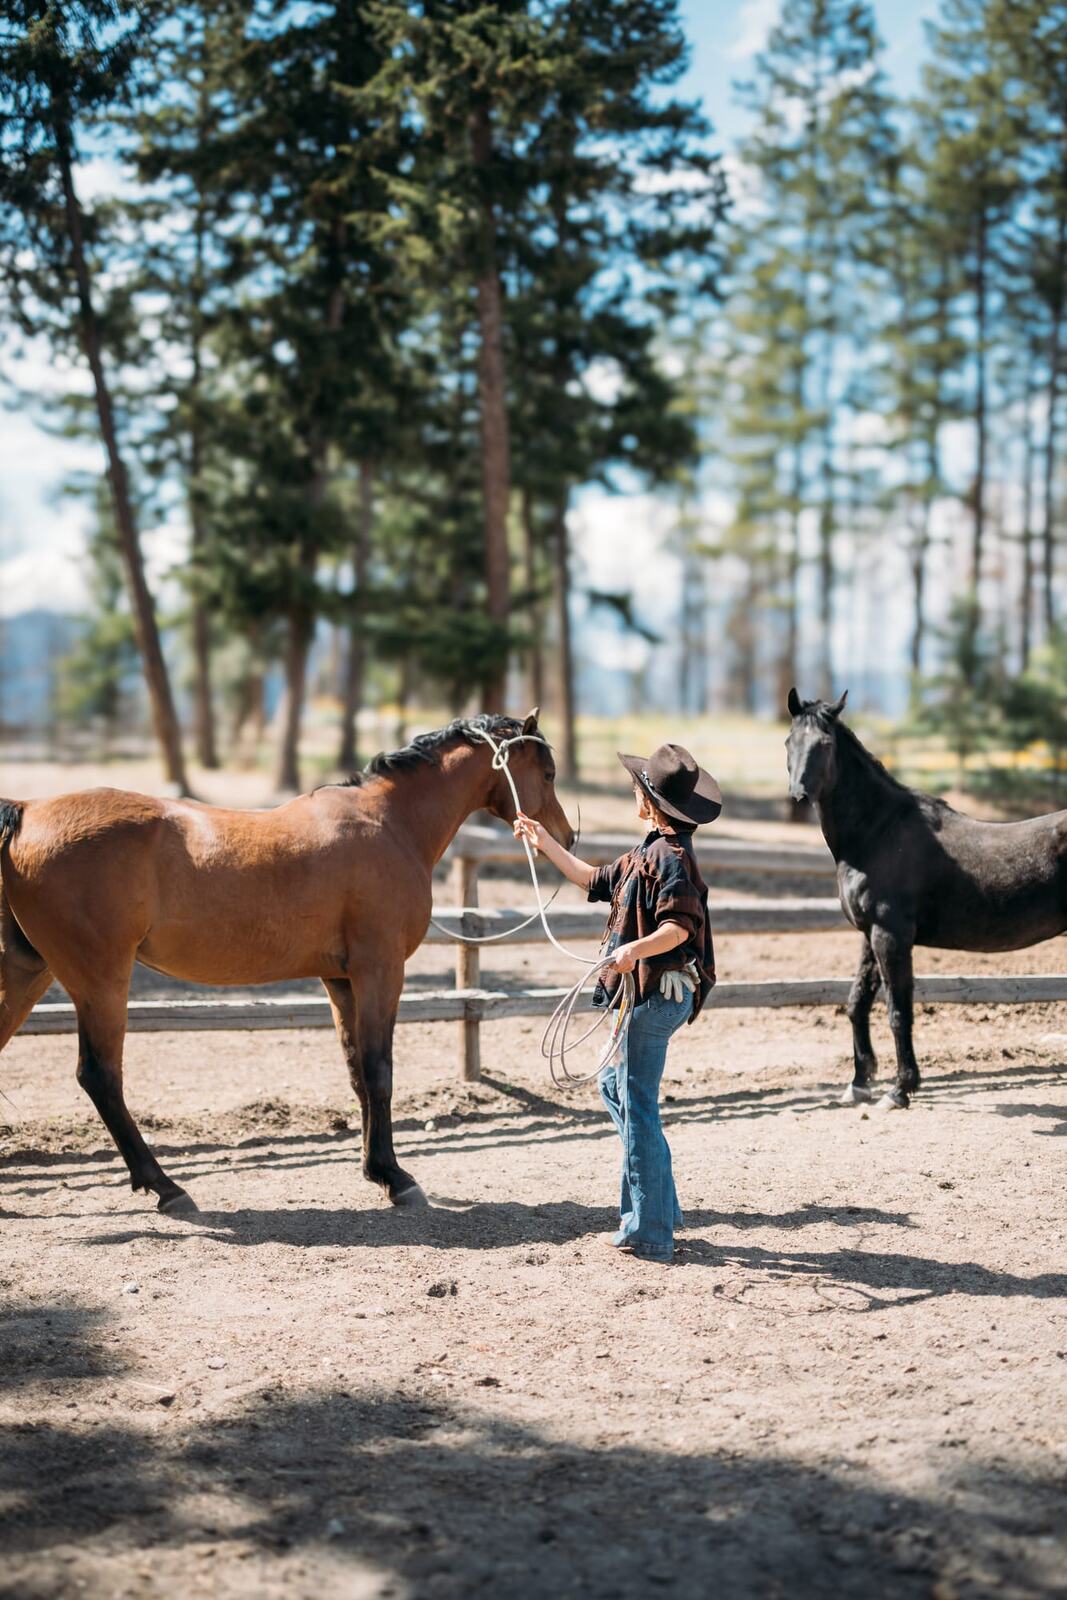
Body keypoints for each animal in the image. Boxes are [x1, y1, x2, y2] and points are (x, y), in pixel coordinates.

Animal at [0, 710, 573, 1213]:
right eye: (547, 772)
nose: (566, 838)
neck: (390, 824)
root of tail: (27, 811)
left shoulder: (341, 978)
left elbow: (358, 1073)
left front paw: (375, 1169)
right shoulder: (380, 970)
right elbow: (379, 1071)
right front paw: (396, 1178)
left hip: (30, 972)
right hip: (99, 980)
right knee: (100, 1076)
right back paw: (166, 1186)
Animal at [785, 688, 1067, 1110]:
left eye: (826, 743)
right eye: (789, 741)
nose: (799, 796)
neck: (877, 833)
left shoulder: (891, 936)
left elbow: (898, 1011)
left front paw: (900, 1090)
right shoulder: (869, 935)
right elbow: (857, 1003)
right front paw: (859, 1082)